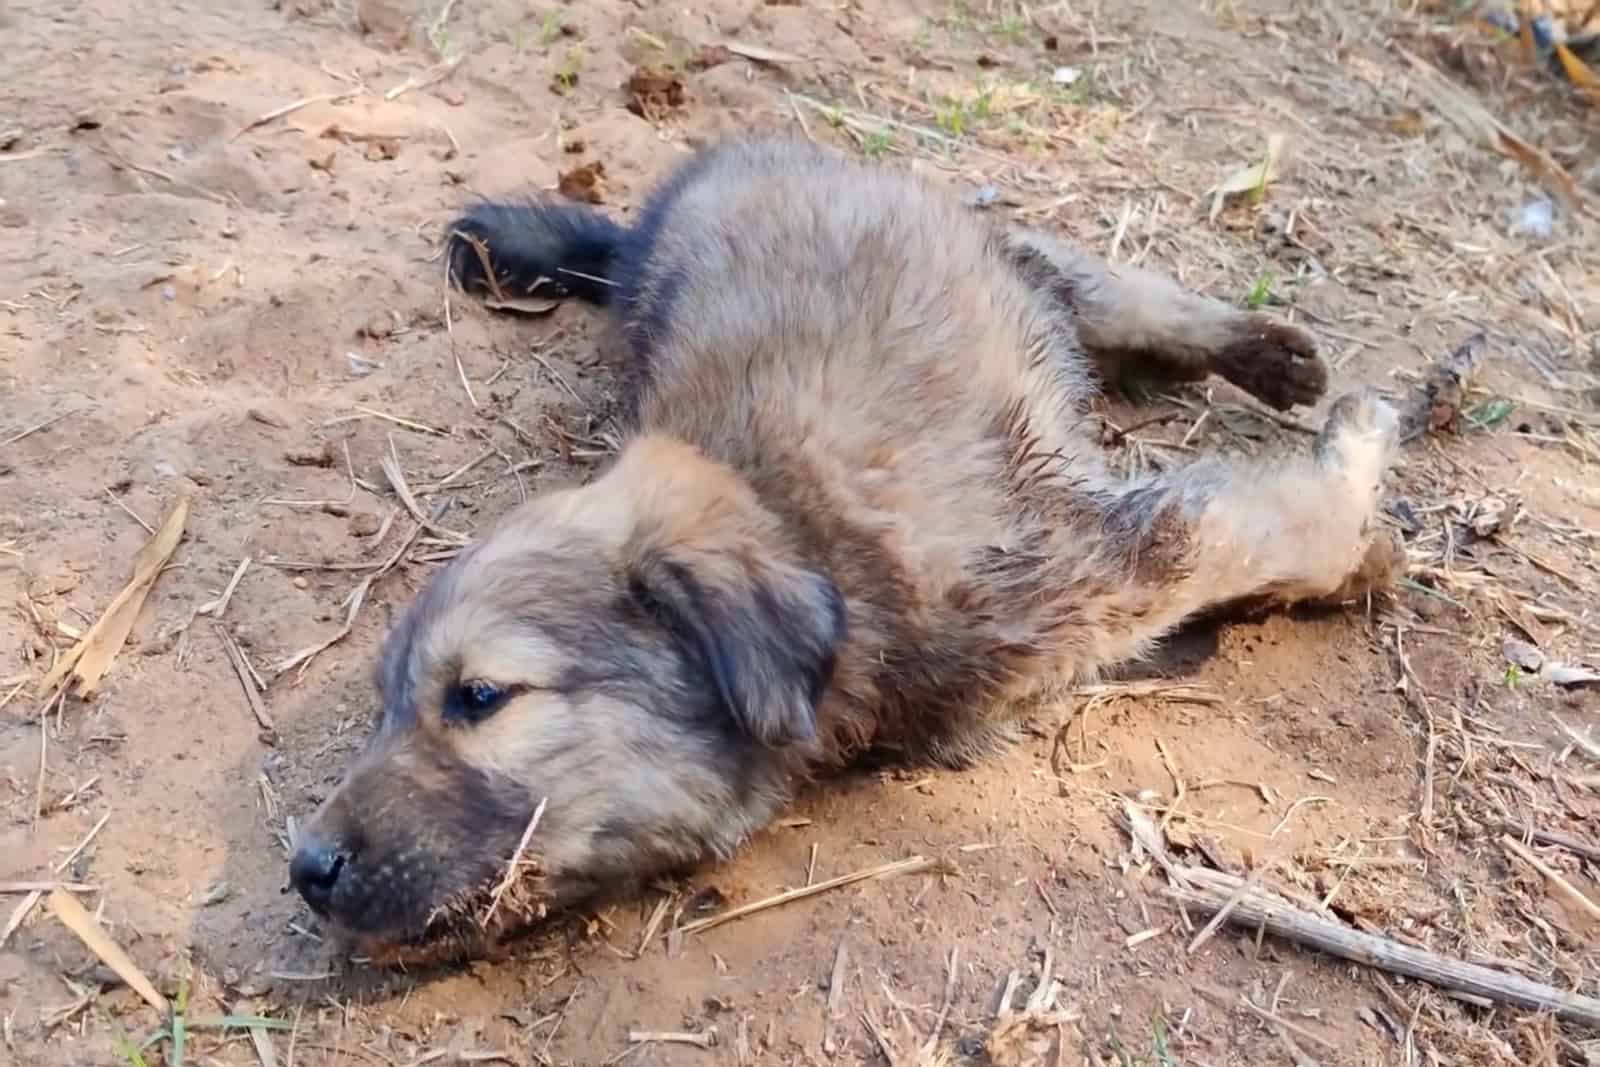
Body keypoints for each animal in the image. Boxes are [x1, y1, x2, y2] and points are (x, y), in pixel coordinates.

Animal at [288, 137, 1401, 966]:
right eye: (385, 705)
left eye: (479, 696)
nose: (306, 869)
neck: (801, 531)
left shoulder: (1117, 548)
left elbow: (1278, 522)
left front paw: (1359, 504)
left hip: (970, 240)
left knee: (1078, 274)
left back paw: (1266, 352)